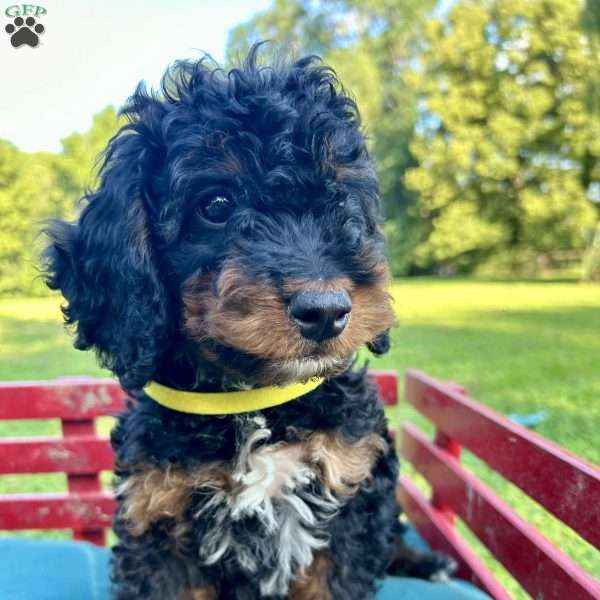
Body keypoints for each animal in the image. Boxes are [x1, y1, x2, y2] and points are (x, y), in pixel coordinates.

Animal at [43, 45, 450, 596]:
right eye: (215, 204)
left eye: (340, 199)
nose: (326, 311)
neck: (254, 403)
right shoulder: (158, 512)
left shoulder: (349, 489)